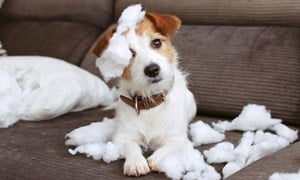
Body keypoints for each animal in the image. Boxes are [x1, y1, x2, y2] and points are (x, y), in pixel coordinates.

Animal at [92, 10, 198, 176]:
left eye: (156, 42)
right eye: (129, 54)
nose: (152, 70)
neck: (150, 100)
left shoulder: (178, 139)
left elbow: (167, 148)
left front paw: (155, 159)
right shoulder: (123, 138)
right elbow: (131, 147)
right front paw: (136, 162)